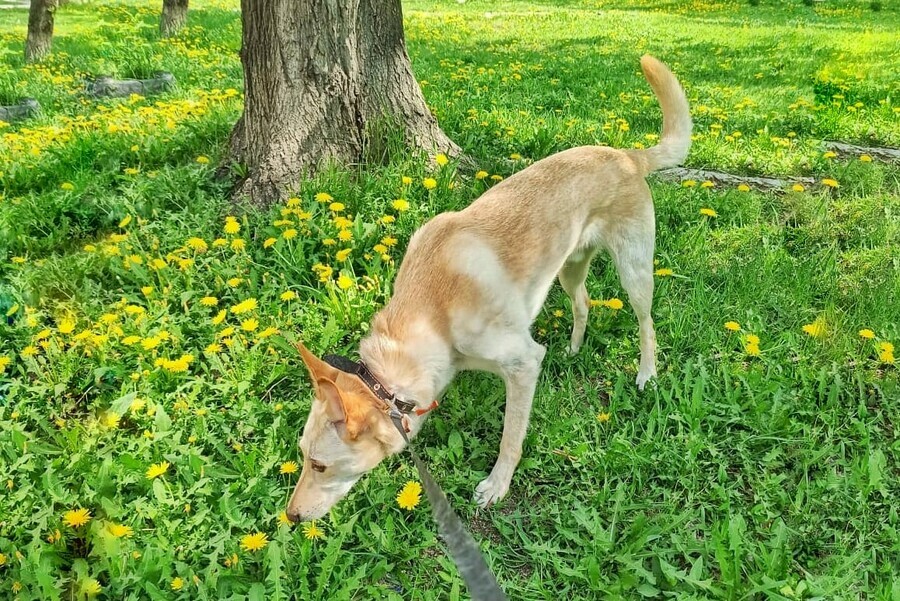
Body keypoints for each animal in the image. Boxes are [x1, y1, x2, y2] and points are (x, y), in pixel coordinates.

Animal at [284, 57, 692, 524]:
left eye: (320, 465)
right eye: (302, 455)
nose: (290, 517)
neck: (432, 313)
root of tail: (625, 155)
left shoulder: (523, 363)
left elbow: (510, 439)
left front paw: (497, 485)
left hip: (634, 270)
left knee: (646, 323)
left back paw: (646, 373)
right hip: (569, 268)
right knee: (584, 303)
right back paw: (574, 348)